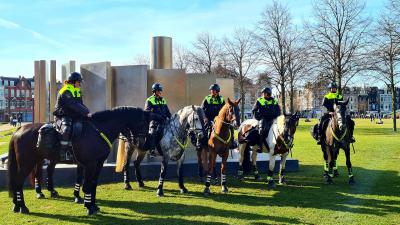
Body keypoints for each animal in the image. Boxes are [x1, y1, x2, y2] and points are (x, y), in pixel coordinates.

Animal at [8, 106, 156, 215]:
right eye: (144, 123)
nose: (143, 144)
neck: (98, 131)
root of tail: (19, 129)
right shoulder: (90, 164)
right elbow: (87, 184)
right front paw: (88, 206)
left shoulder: (98, 163)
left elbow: (92, 184)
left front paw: (92, 204)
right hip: (26, 163)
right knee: (19, 181)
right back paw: (23, 206)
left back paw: (18, 203)